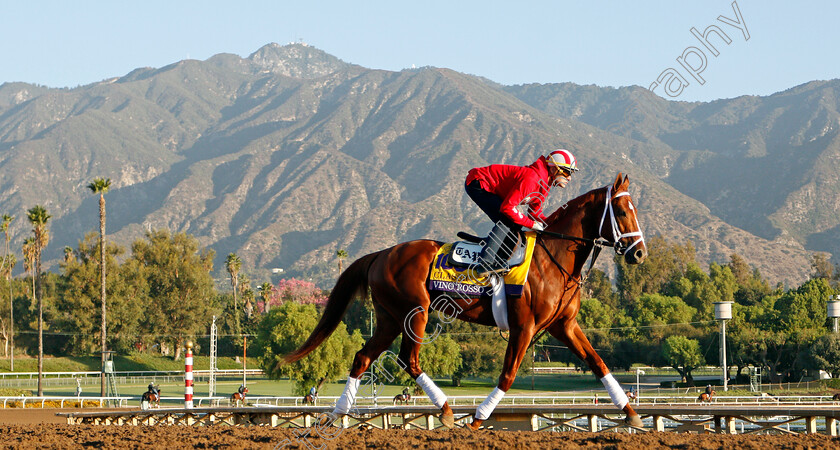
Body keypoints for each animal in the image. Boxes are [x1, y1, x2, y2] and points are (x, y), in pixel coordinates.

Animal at [286, 173, 648, 428]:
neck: (553, 258)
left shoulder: (564, 325)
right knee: (408, 359)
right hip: (415, 312)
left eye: (635, 210)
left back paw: (337, 413)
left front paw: (631, 413)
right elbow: (507, 375)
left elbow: (598, 363)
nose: (639, 253)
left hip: (389, 318)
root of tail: (381, 253)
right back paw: (446, 410)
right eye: (620, 211)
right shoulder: (524, 326)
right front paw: (476, 419)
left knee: (363, 357)